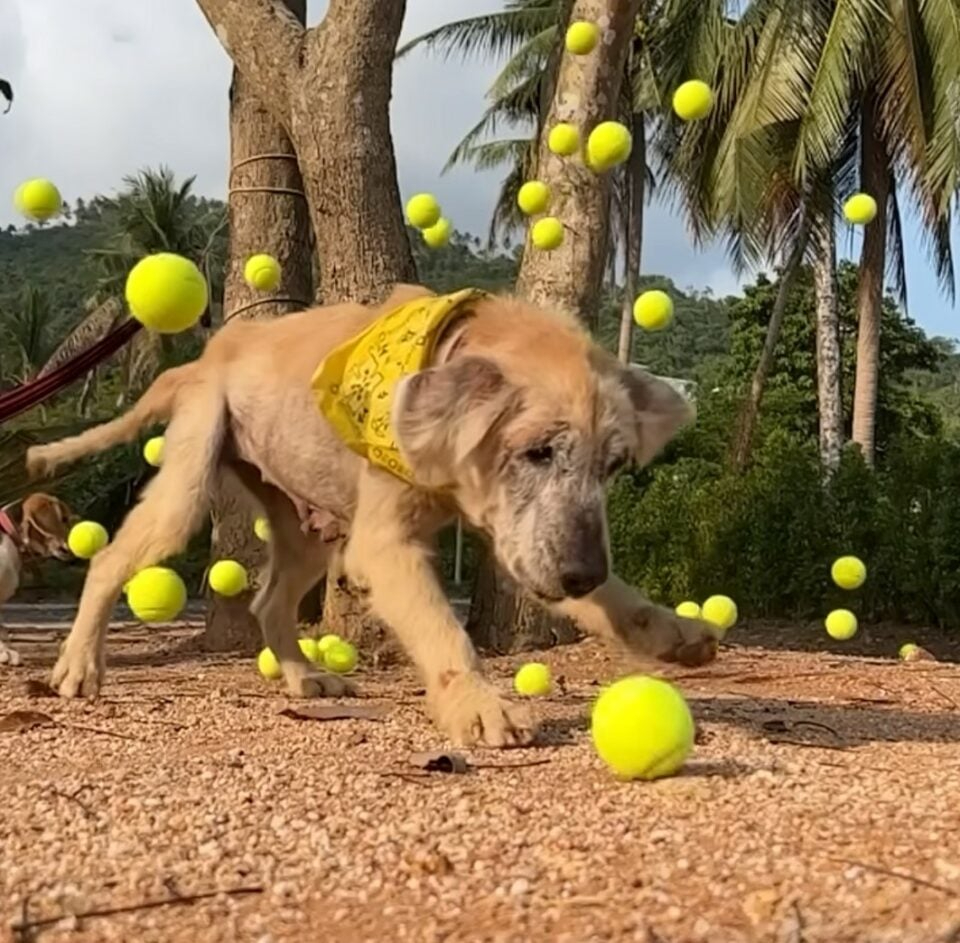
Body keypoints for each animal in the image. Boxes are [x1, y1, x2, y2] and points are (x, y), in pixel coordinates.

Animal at [26, 286, 716, 744]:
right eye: (537, 450)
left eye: (614, 466)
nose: (581, 575)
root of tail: (204, 359)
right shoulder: (385, 546)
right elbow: (444, 630)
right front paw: (479, 704)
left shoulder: (521, 539)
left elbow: (617, 600)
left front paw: (672, 632)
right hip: (188, 483)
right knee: (110, 558)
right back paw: (80, 665)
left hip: (305, 527)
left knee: (269, 602)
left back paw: (304, 678)